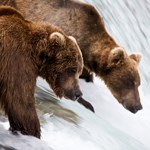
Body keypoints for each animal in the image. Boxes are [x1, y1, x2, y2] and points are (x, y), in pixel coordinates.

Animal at [0, 6, 84, 138]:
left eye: (79, 72)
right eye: (72, 69)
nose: (78, 94)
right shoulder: (17, 61)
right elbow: (21, 102)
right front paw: (33, 132)